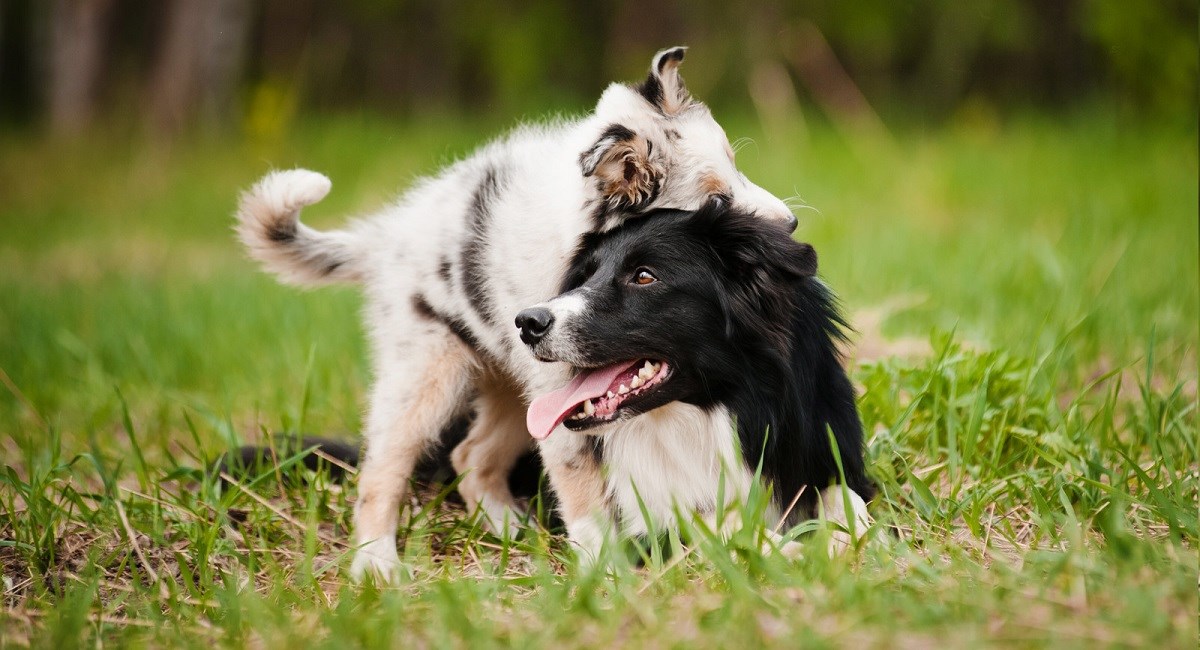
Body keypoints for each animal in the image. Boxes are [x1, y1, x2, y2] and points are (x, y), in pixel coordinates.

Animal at [232, 49, 796, 580]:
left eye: (737, 168)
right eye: (717, 200)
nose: (790, 225)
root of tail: (387, 236)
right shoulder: (564, 393)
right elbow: (585, 492)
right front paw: (604, 573)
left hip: (509, 381)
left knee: (471, 455)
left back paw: (509, 530)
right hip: (424, 375)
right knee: (382, 469)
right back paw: (376, 562)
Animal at [516, 202, 873, 556]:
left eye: (644, 276)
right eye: (585, 277)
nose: (527, 322)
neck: (714, 410)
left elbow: (841, 493)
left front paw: (858, 538)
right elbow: (713, 522)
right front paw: (791, 550)